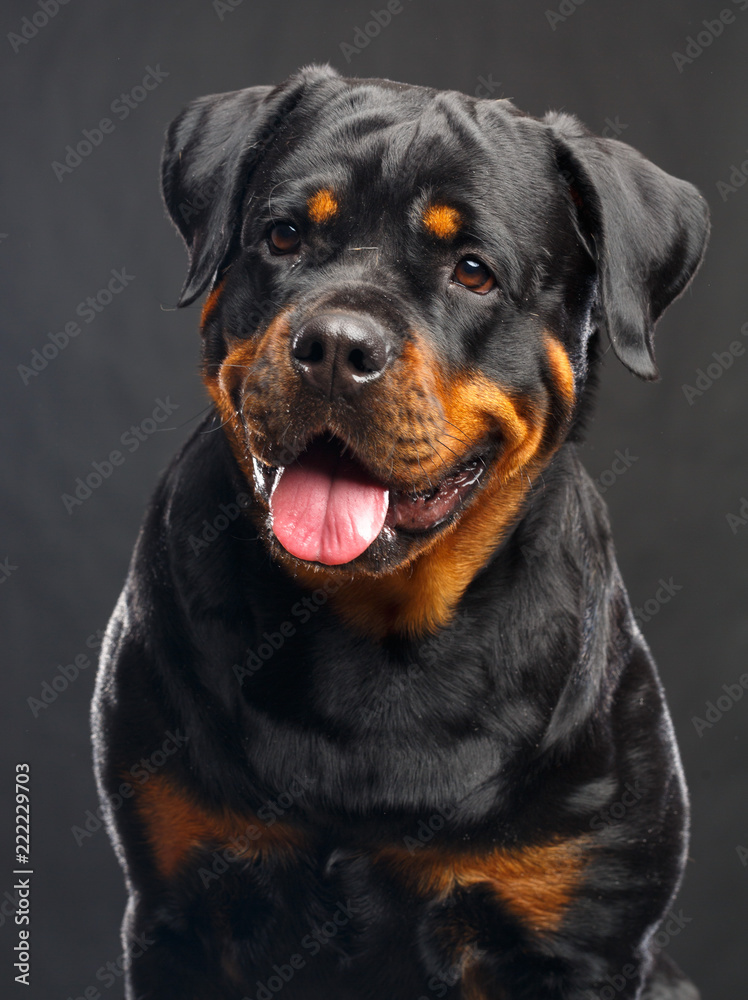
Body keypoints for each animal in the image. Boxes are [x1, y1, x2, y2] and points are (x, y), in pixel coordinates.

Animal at [93, 66, 708, 996]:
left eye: (473, 271)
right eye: (283, 236)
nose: (335, 346)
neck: (377, 632)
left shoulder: (579, 944)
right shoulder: (182, 911)